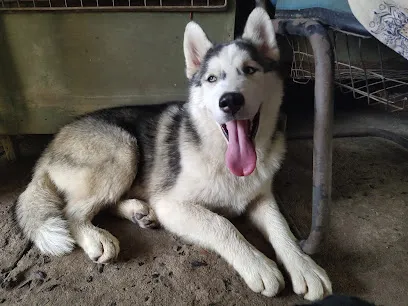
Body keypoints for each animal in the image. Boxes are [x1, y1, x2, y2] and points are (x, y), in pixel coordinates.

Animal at [15, 7, 334, 302]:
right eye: (211, 78)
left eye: (251, 70)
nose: (230, 100)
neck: (221, 156)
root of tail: (51, 145)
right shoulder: (172, 204)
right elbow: (222, 224)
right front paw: (258, 264)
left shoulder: (260, 197)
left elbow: (281, 227)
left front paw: (304, 266)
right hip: (123, 149)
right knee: (72, 212)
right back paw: (97, 237)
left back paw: (137, 211)